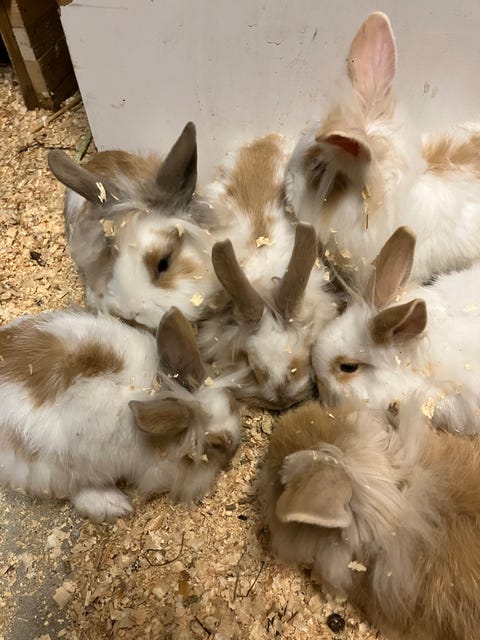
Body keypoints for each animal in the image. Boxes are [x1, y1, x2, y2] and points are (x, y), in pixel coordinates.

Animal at [0, 306, 242, 521]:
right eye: (217, 444)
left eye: (231, 403)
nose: (236, 447)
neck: (158, 393)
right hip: (57, 467)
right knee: (74, 490)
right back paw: (115, 506)